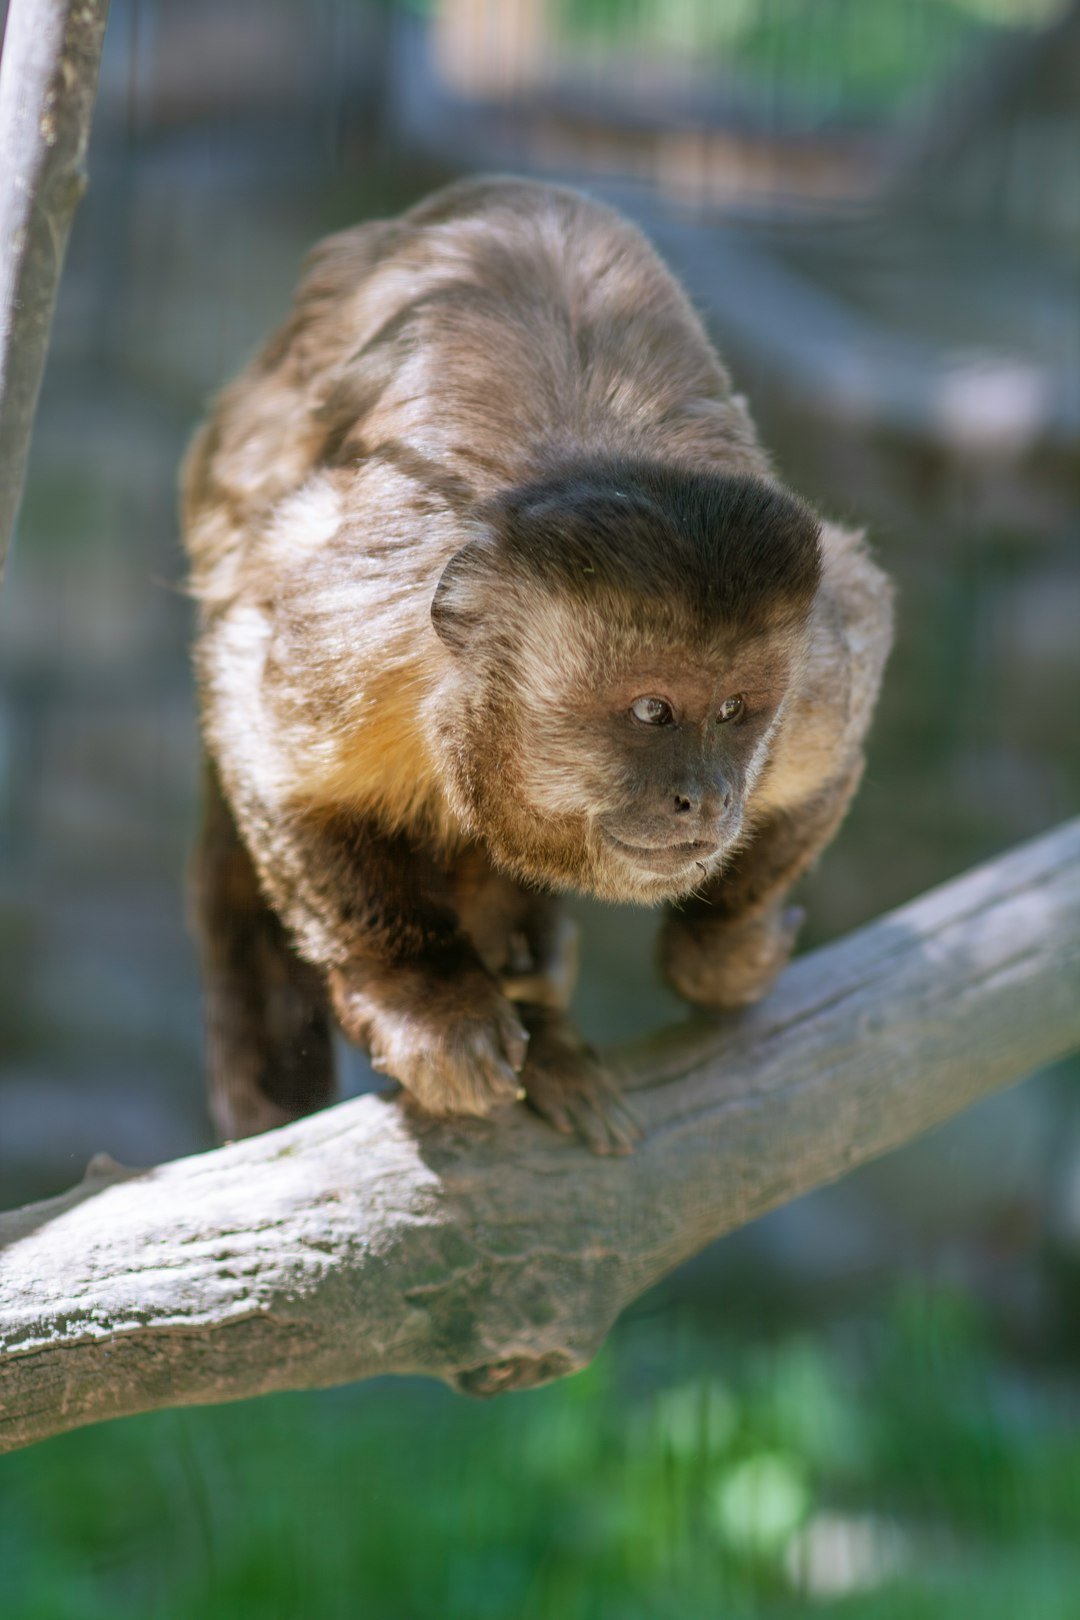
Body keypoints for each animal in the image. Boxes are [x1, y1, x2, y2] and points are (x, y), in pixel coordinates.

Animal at [182, 176, 893, 1156]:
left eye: (734, 711)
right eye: (651, 712)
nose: (706, 797)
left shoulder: (817, 666)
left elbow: (840, 727)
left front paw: (727, 941)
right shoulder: (364, 643)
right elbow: (258, 708)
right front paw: (420, 993)